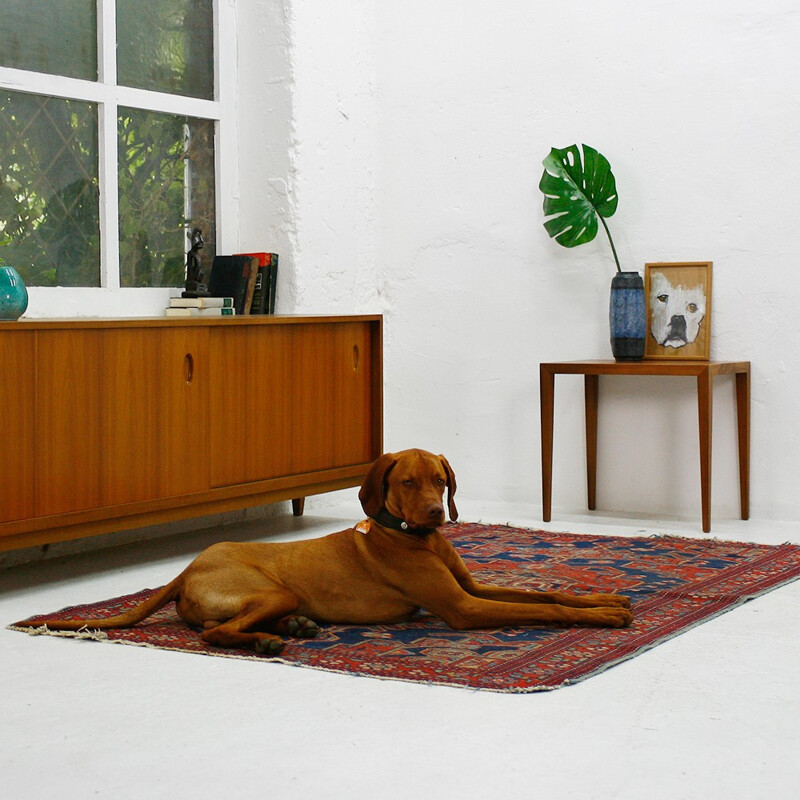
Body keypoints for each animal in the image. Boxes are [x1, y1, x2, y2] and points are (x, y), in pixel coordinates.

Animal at [15, 446, 636, 652]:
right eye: (407, 482)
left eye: (440, 480)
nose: (437, 515)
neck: (413, 537)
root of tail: (187, 569)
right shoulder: (463, 607)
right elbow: (543, 610)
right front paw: (604, 618)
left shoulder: (472, 586)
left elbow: (546, 593)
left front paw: (608, 601)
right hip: (273, 588)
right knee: (215, 634)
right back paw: (271, 641)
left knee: (217, 626)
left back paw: (290, 630)